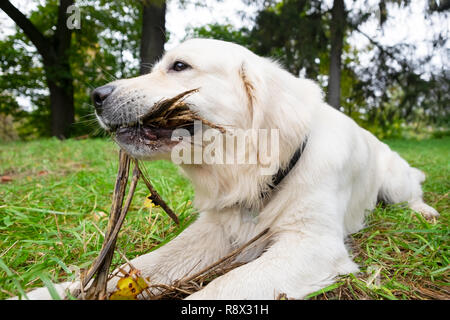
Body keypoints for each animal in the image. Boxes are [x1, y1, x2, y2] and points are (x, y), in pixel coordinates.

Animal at [19, 39, 438, 300]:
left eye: (180, 66)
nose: (96, 96)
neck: (259, 174)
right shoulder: (213, 230)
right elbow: (139, 265)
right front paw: (53, 290)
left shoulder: (312, 244)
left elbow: (223, 287)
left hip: (395, 181)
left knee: (412, 193)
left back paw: (426, 212)